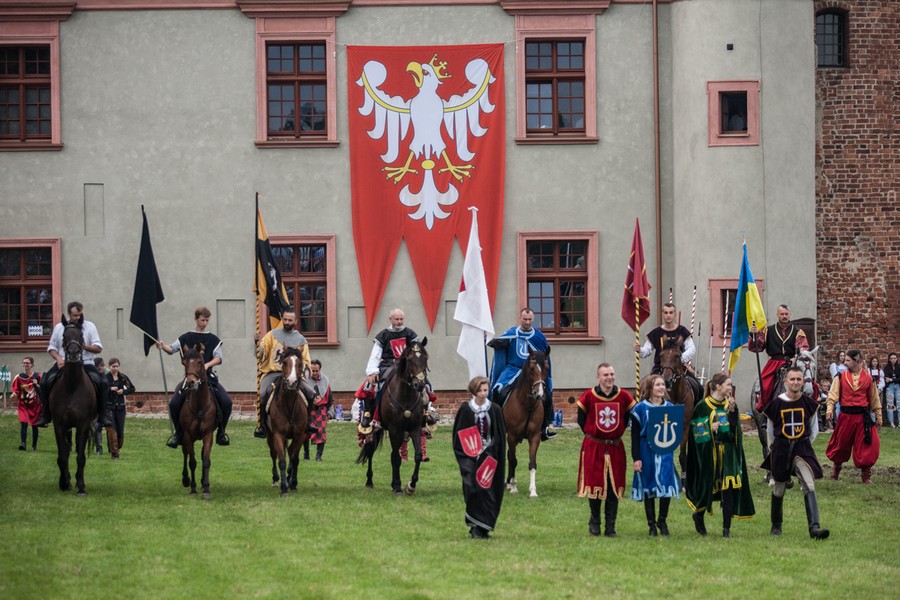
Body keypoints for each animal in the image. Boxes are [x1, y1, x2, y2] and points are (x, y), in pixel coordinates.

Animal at [49, 319, 98, 496]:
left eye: (81, 335)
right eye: (64, 335)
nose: (73, 353)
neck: (72, 385)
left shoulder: (83, 424)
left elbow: (81, 456)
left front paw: (81, 486)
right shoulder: (59, 425)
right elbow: (62, 456)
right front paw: (64, 483)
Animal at [266, 347, 309, 496]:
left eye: (300, 364)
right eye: (284, 362)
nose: (291, 382)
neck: (289, 406)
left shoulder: (300, 435)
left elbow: (294, 459)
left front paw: (293, 483)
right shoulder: (278, 434)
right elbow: (282, 461)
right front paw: (284, 488)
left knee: (290, 452)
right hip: (270, 436)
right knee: (274, 454)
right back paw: (275, 479)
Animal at [356, 338, 430, 495]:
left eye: (425, 358)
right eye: (409, 359)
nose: (419, 385)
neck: (406, 395)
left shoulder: (414, 429)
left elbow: (418, 455)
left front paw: (411, 485)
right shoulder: (394, 429)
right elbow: (396, 458)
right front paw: (397, 486)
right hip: (373, 428)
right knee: (370, 450)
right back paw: (369, 481)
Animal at [503, 349, 548, 498]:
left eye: (546, 368)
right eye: (531, 369)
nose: (539, 394)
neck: (526, 404)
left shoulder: (535, 437)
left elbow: (532, 462)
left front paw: (533, 490)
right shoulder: (511, 436)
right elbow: (513, 460)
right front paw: (513, 487)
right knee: (509, 457)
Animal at [657, 336, 700, 471]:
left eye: (677, 356)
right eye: (661, 355)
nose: (666, 381)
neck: (676, 397)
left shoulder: (685, 427)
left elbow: (682, 456)